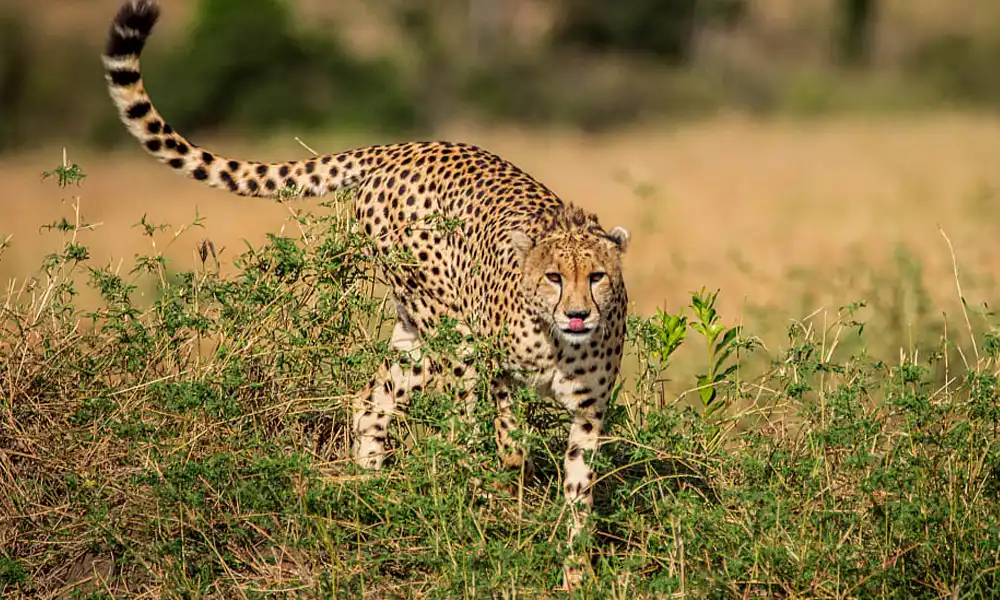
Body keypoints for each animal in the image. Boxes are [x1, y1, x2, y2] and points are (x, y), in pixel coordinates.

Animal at [103, 0, 632, 584]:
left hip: (416, 334)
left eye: (597, 277)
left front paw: (576, 573)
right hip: (449, 327)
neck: (561, 343)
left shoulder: (588, 415)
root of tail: (407, 145)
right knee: (456, 423)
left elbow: (579, 494)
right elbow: (507, 439)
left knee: (368, 404)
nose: (579, 314)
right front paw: (510, 494)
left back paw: (374, 492)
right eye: (554, 277)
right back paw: (449, 497)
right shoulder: (495, 366)